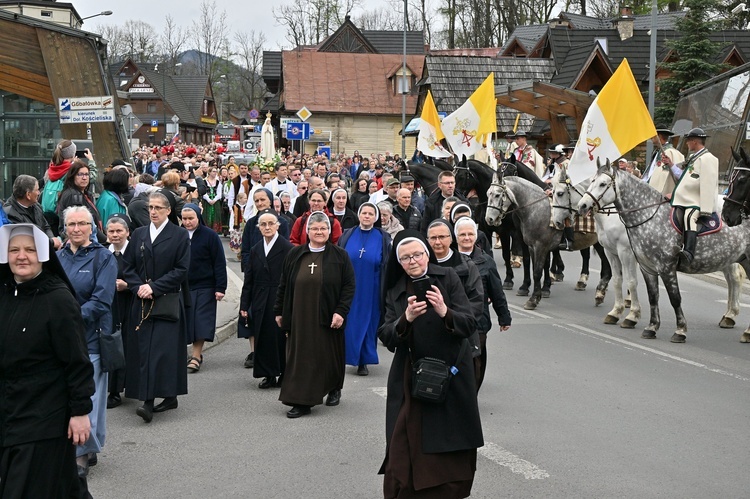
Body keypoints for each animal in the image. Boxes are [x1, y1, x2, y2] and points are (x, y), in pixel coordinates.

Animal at [484, 174, 604, 310]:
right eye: (488, 194)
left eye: (497, 195)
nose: (489, 219)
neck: (535, 210)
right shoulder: (531, 246)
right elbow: (534, 267)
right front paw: (534, 292)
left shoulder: (540, 247)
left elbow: (537, 272)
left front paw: (533, 299)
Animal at [576, 160, 750, 344]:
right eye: (591, 181)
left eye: (603, 183)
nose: (582, 205)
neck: (648, 217)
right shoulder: (643, 265)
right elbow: (650, 294)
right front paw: (649, 327)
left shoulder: (661, 265)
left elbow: (673, 297)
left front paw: (679, 330)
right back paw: (738, 324)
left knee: (734, 278)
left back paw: (732, 318)